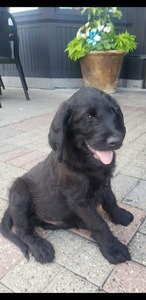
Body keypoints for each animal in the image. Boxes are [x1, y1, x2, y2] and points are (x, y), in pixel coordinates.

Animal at [0, 87, 133, 264]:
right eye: (89, 116)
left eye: (114, 112)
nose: (116, 140)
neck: (86, 160)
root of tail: (9, 207)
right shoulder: (80, 199)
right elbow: (98, 223)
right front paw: (113, 249)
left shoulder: (104, 181)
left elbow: (110, 200)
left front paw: (120, 215)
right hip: (19, 192)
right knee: (23, 230)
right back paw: (41, 248)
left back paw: (78, 222)